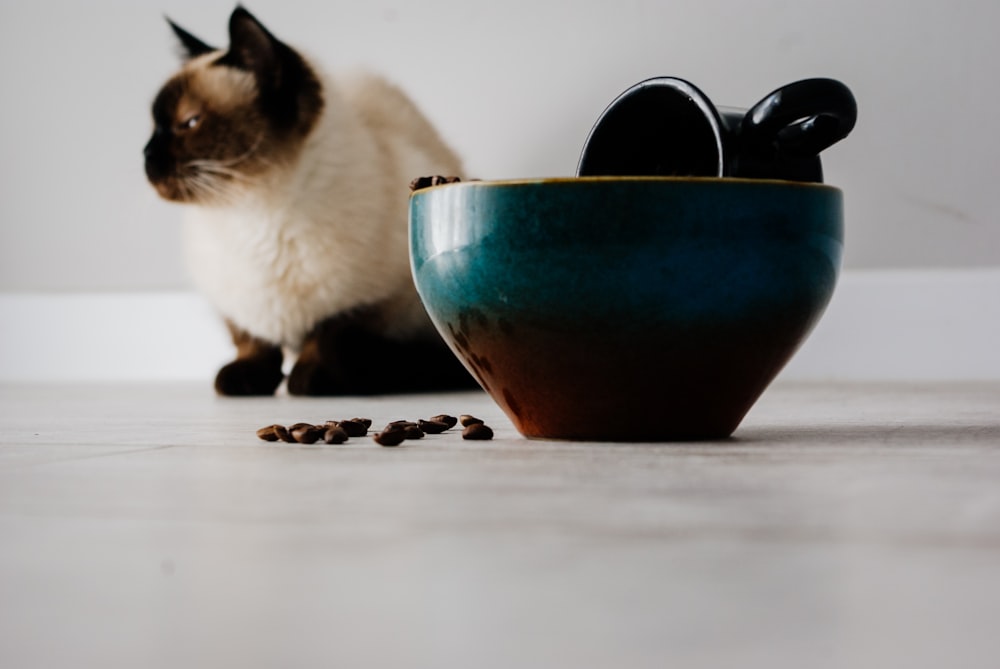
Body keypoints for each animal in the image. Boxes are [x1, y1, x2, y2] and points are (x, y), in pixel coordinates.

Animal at [143, 6, 478, 396]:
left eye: (190, 122)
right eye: (153, 127)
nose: (145, 155)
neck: (253, 211)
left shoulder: (372, 298)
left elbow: (329, 334)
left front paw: (308, 379)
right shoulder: (229, 299)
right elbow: (249, 340)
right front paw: (246, 379)